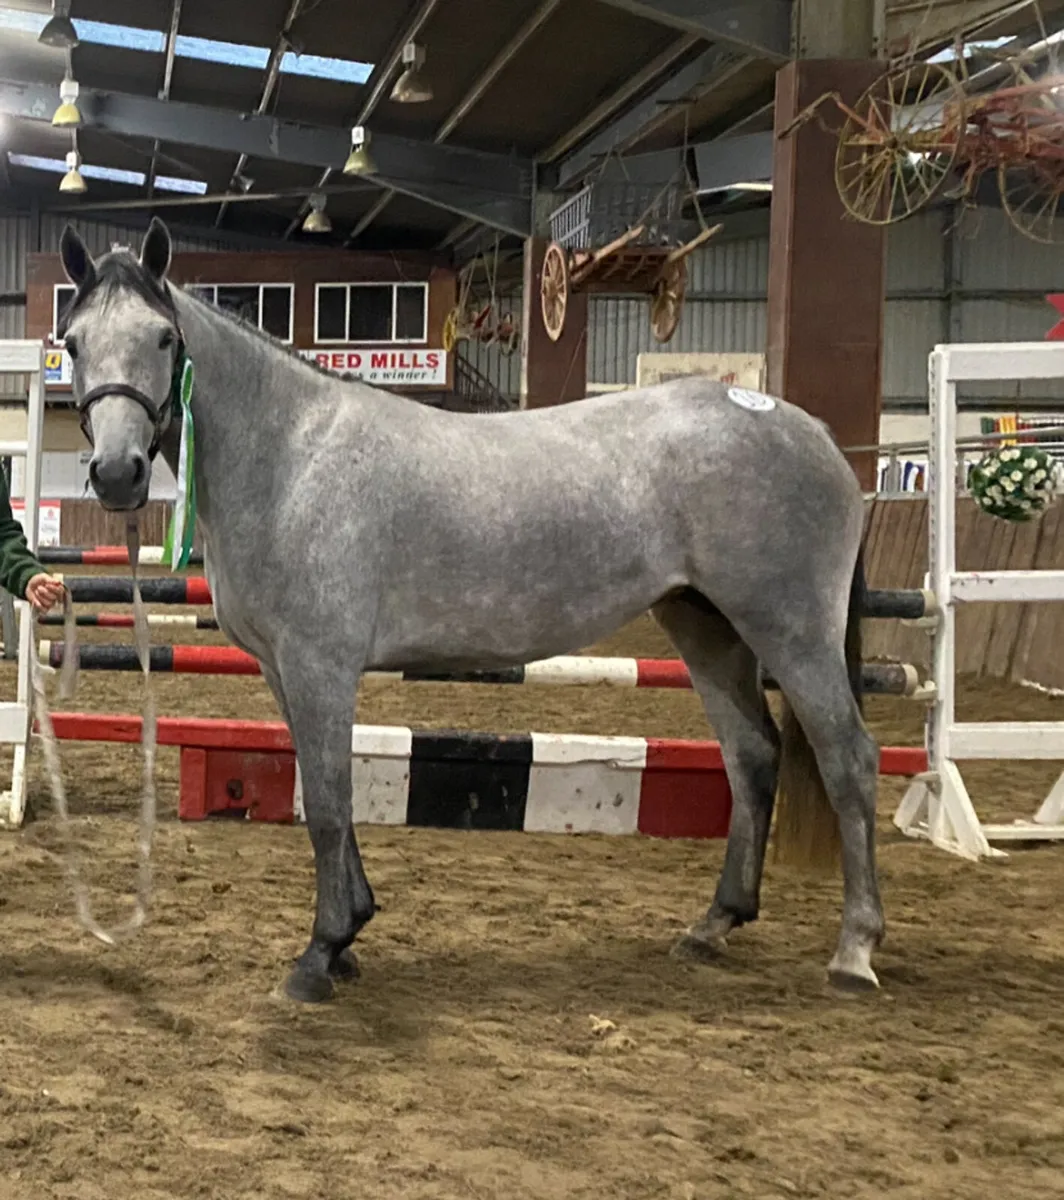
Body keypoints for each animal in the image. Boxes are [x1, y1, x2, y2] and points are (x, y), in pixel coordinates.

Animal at [56, 218, 883, 1004]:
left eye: (164, 338)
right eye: (73, 341)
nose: (118, 474)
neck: (291, 453)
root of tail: (811, 431)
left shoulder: (322, 666)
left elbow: (326, 800)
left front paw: (319, 954)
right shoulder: (284, 670)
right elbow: (327, 792)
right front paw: (350, 932)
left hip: (791, 632)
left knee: (849, 759)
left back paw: (855, 950)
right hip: (705, 626)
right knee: (752, 755)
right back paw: (714, 924)